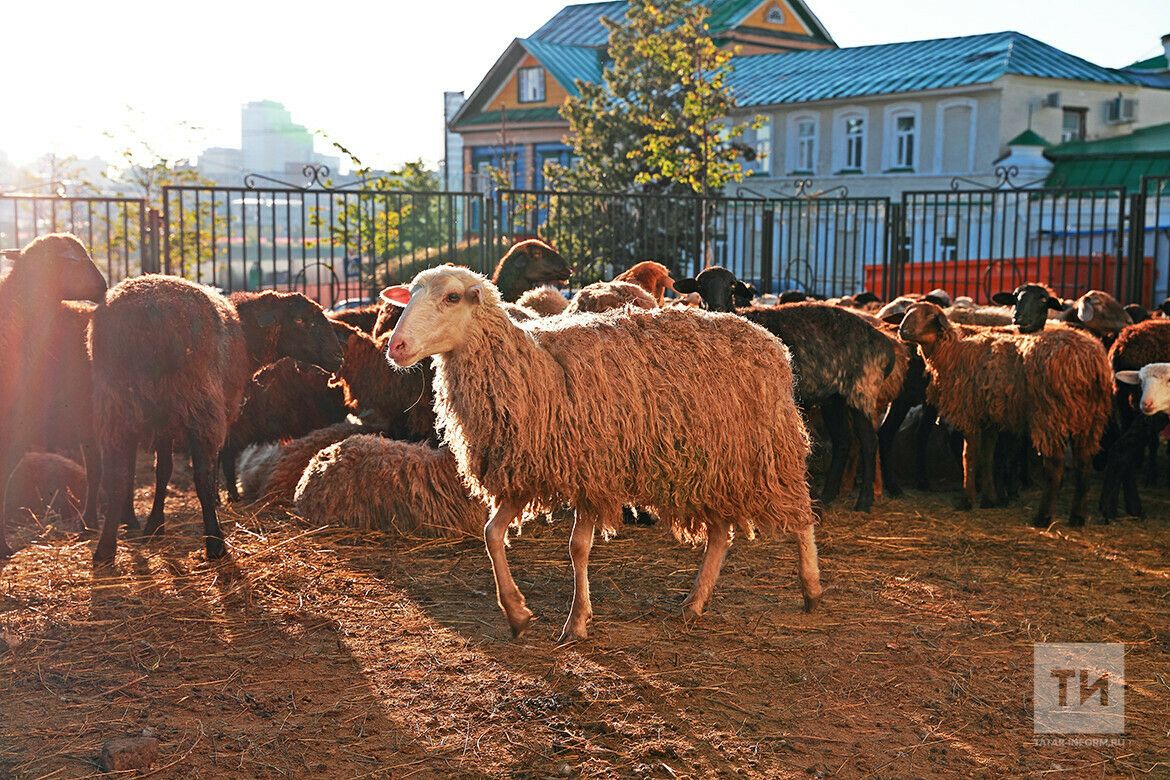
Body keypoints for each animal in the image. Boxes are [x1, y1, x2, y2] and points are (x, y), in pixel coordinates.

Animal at [87, 277, 341, 563]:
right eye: (300, 320)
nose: (338, 356)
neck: (246, 335)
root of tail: (144, 319)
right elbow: (215, 464)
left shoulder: (164, 422)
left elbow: (163, 471)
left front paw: (154, 525)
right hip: (200, 403)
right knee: (203, 477)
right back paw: (216, 543)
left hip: (116, 405)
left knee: (116, 478)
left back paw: (105, 549)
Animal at [383, 265, 823, 645]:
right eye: (411, 295)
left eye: (452, 297)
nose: (396, 346)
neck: (534, 367)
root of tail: (767, 338)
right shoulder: (527, 471)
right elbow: (492, 534)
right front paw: (517, 614)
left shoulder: (592, 472)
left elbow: (578, 548)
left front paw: (577, 622)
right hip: (712, 463)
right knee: (719, 534)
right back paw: (695, 603)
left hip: (769, 450)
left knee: (801, 516)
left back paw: (811, 588)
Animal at [673, 266, 898, 512]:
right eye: (700, 286)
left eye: (732, 286)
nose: (717, 308)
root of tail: (885, 345)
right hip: (834, 397)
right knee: (843, 441)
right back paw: (827, 496)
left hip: (862, 390)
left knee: (869, 442)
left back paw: (863, 502)